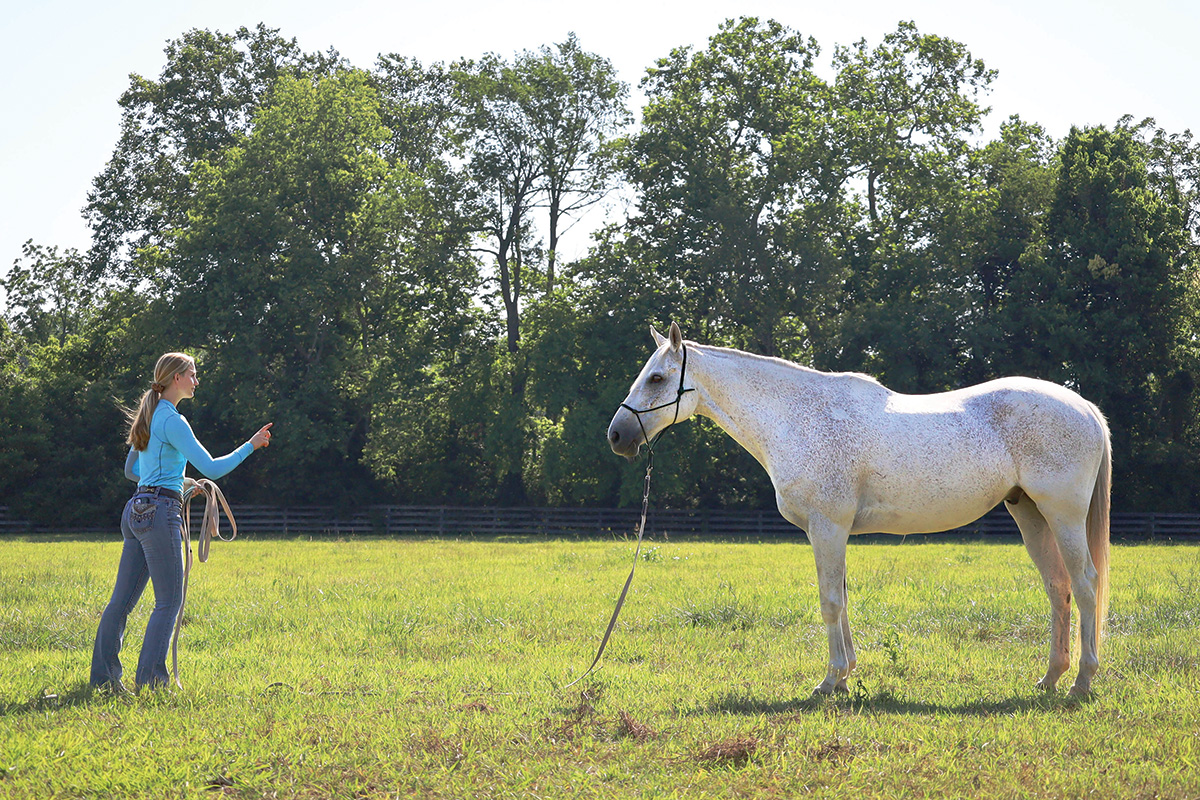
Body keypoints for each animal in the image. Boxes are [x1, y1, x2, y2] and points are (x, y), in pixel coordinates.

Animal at [607, 323, 1111, 697]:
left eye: (657, 378)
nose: (617, 435)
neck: (798, 418)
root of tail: (1084, 406)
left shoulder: (827, 527)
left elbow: (830, 601)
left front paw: (830, 681)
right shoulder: (835, 531)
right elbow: (843, 599)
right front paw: (847, 674)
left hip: (1062, 516)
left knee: (1085, 585)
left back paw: (1082, 683)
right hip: (1030, 514)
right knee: (1058, 588)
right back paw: (1050, 678)